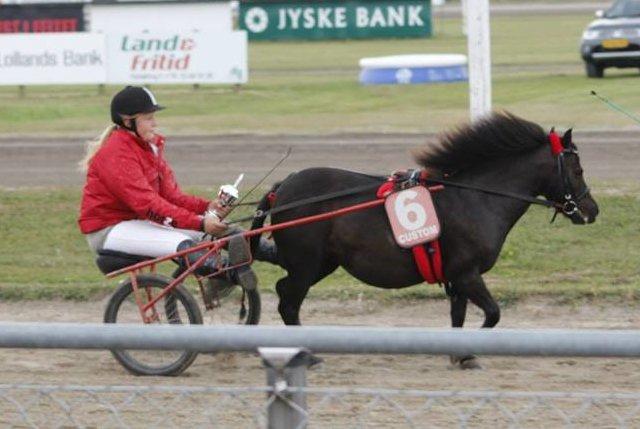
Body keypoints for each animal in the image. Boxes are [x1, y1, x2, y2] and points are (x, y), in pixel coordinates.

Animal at [250, 112, 600, 366]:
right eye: (578, 169)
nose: (591, 210)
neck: (475, 197)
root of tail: (282, 187)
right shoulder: (467, 273)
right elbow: (493, 314)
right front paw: (469, 352)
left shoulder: (457, 276)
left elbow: (459, 316)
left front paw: (460, 355)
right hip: (307, 264)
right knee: (288, 301)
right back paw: (306, 355)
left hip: (322, 263)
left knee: (285, 293)